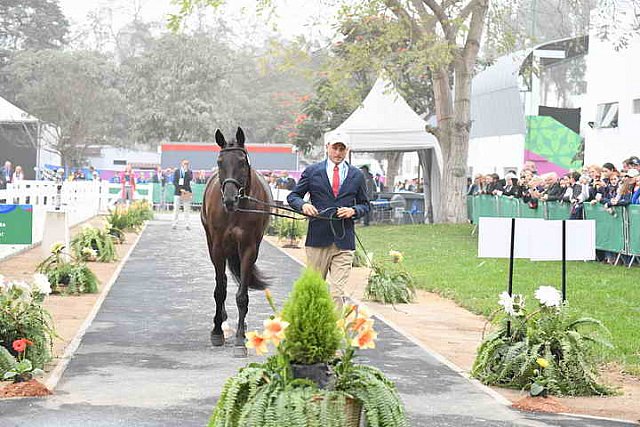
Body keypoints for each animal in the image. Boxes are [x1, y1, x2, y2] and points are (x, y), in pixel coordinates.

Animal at [199, 126, 272, 358]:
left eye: (241, 161)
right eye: (220, 162)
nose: (229, 199)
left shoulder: (249, 248)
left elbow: (242, 295)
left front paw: (241, 340)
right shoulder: (217, 247)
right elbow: (219, 290)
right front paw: (217, 332)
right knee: (220, 281)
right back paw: (220, 319)